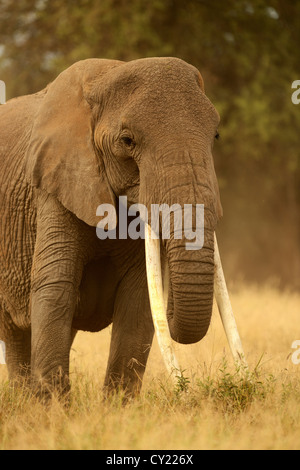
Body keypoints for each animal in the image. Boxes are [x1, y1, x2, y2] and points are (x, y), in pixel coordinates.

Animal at [0, 57, 223, 396]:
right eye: (127, 141)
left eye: (216, 137)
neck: (107, 74)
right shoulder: (54, 185)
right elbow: (55, 286)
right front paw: (54, 407)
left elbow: (138, 299)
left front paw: (116, 405)